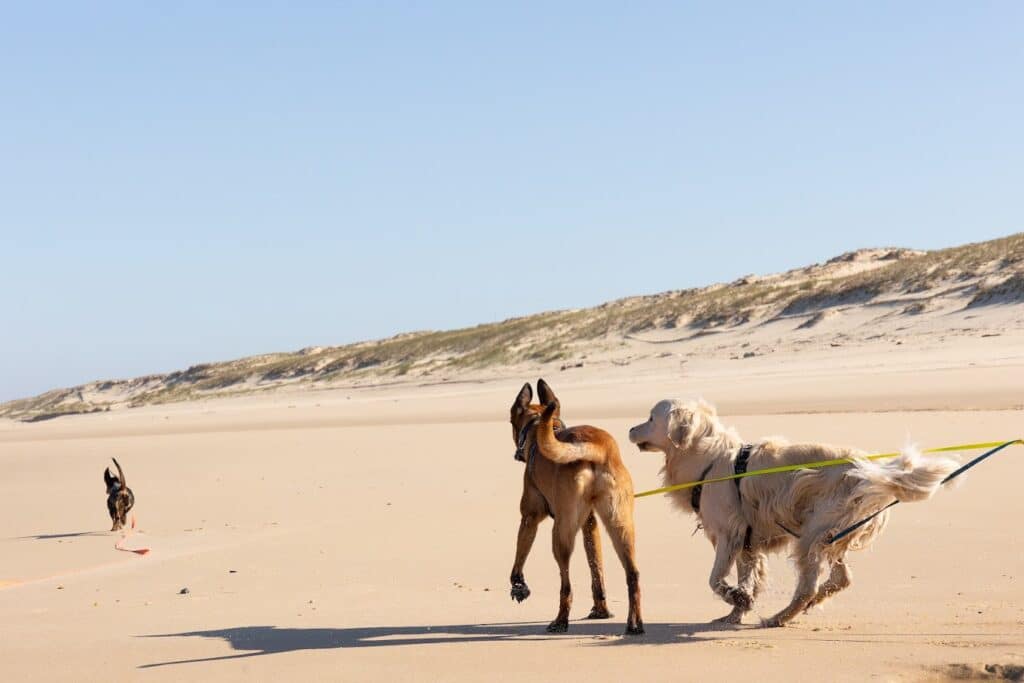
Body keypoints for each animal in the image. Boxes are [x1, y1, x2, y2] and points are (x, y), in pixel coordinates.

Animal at [507, 378, 643, 634]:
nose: (517, 454)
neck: (540, 429)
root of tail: (597, 449)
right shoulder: (590, 525)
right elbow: (596, 571)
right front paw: (601, 610)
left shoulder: (529, 518)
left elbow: (519, 556)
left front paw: (518, 585)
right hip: (620, 526)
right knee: (633, 575)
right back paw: (634, 623)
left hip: (561, 532)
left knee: (566, 584)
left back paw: (560, 621)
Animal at [622, 397, 958, 626]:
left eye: (650, 417)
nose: (629, 429)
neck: (710, 461)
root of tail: (871, 469)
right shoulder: (747, 542)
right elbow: (748, 577)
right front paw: (735, 612)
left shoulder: (729, 534)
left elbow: (715, 580)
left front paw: (736, 598)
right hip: (833, 535)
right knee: (841, 578)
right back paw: (805, 606)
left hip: (811, 535)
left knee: (809, 586)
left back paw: (779, 617)